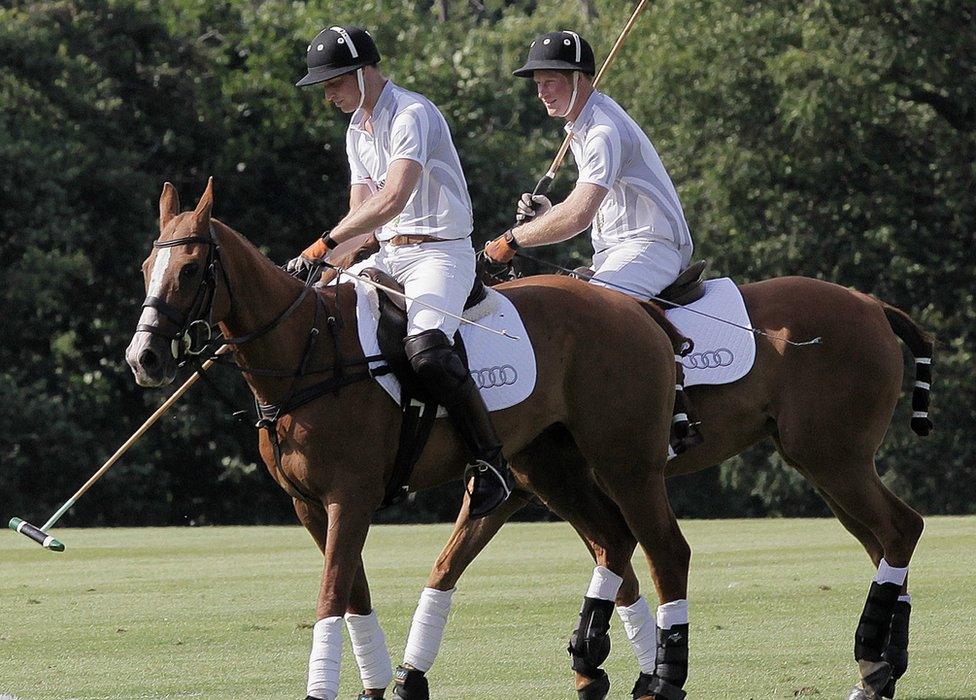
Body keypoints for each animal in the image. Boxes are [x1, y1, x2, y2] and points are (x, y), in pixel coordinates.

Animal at [124, 182, 692, 700]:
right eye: (146, 268)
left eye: (191, 269)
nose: (143, 358)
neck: (308, 353)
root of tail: (636, 309)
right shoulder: (309, 503)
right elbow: (354, 594)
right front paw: (376, 686)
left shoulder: (350, 496)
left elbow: (331, 595)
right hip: (550, 465)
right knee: (613, 540)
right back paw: (590, 652)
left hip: (627, 460)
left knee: (666, 549)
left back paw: (663, 678)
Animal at [408, 266, 936, 696]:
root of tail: (873, 304)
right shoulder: (520, 489)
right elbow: (449, 565)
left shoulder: (586, 482)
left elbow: (623, 563)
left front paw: (621, 670)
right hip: (821, 463)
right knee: (881, 542)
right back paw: (881, 670)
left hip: (833, 457)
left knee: (899, 529)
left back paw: (874, 663)